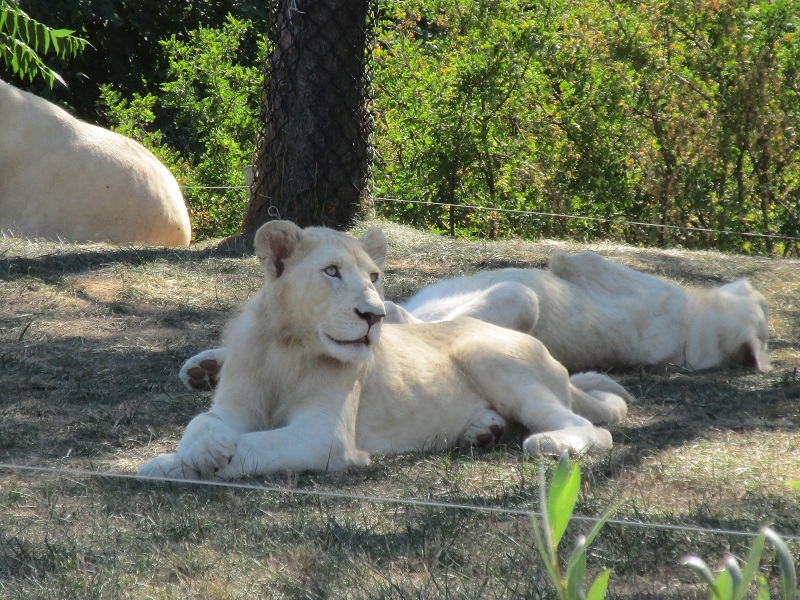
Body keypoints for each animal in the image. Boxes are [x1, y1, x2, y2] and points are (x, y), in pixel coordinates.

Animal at [139, 223, 636, 480]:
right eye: (332, 272)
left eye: (375, 277)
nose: (374, 315)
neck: (287, 348)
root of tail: (554, 361)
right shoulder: (235, 408)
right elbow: (202, 423)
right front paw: (195, 451)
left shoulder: (324, 438)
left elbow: (252, 447)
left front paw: (168, 462)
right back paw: (483, 431)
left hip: (490, 355)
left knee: (590, 428)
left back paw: (549, 443)